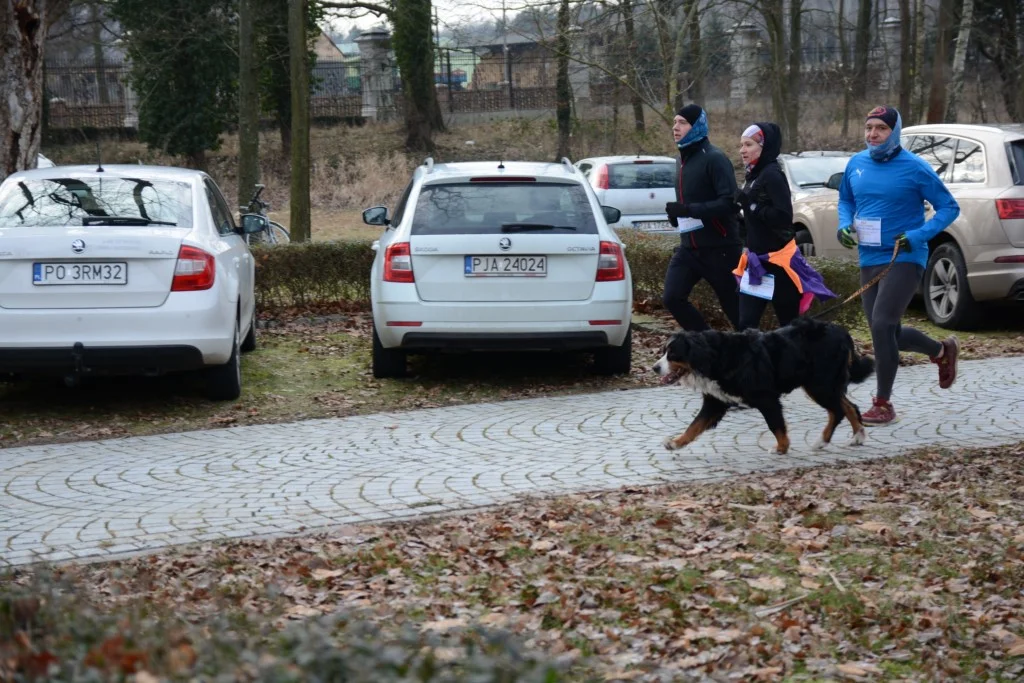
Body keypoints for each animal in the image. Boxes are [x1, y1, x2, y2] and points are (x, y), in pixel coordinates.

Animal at [655, 317, 872, 456]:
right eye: (664, 351)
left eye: (673, 354)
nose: (655, 367)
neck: (716, 359)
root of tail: (842, 332)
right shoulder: (715, 402)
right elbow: (694, 426)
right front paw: (675, 443)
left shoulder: (766, 398)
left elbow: (775, 425)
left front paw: (781, 448)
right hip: (825, 385)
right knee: (850, 407)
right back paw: (858, 437)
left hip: (819, 385)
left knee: (837, 411)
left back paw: (821, 441)